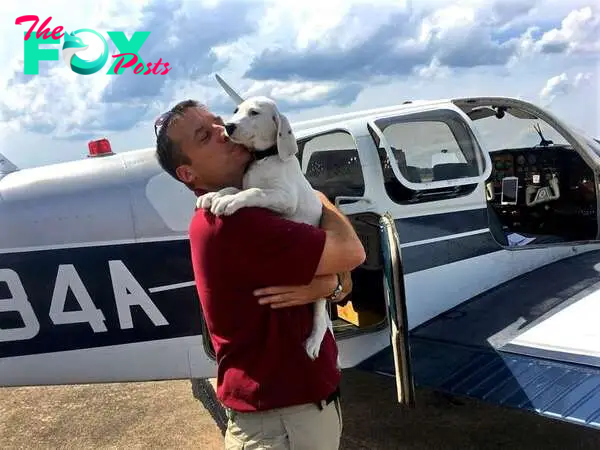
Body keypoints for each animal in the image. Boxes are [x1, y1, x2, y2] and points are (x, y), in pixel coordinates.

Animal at [199, 96, 336, 360]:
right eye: (236, 110)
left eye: (254, 113)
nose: (228, 126)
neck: (264, 159)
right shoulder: (246, 184)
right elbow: (235, 188)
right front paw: (213, 195)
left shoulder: (284, 197)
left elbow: (254, 191)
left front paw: (228, 202)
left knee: (320, 313)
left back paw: (313, 342)